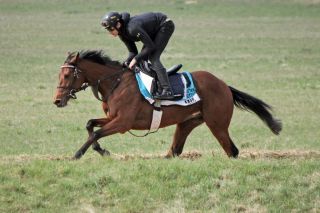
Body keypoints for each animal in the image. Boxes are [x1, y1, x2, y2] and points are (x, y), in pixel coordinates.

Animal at [53, 50, 282, 160]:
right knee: (175, 150)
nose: (57, 100)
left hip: (217, 124)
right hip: (188, 123)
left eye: (67, 75)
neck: (116, 83)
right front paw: (100, 151)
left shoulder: (123, 123)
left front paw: (78, 154)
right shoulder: (112, 118)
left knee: (231, 150)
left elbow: (96, 133)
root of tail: (224, 85)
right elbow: (90, 124)